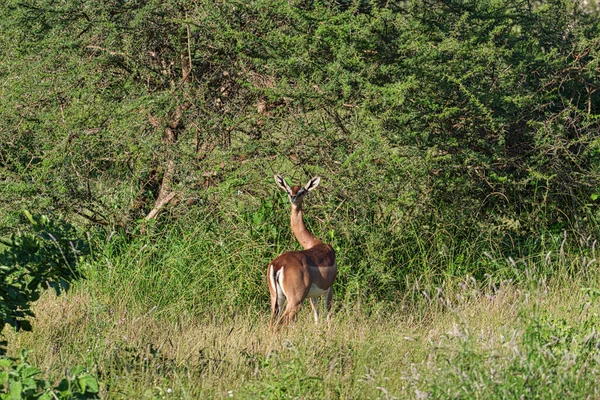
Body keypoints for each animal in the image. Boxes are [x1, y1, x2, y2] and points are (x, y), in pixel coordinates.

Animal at [268, 175, 338, 328]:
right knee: (281, 324)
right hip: (295, 301)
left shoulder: (312, 296)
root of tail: (278, 265)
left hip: (276, 299)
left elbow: (316, 316)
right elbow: (328, 314)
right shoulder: (329, 288)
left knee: (271, 324)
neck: (316, 243)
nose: (293, 198)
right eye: (288, 190)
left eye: (301, 191)